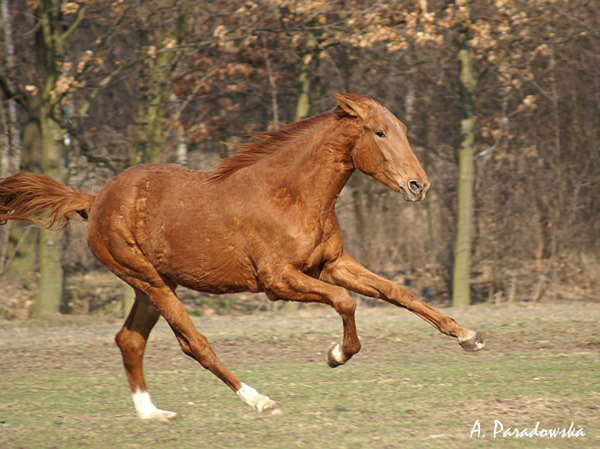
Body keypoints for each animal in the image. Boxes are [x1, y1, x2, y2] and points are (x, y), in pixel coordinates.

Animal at [0, 93, 482, 420]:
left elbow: (398, 292)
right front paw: (336, 355)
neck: (290, 195)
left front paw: (468, 336)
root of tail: (95, 199)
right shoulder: (278, 281)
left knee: (130, 340)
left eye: (403, 129)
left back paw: (153, 414)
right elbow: (346, 301)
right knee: (193, 344)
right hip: (147, 280)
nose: (419, 185)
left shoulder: (331, 264)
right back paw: (259, 400)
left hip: (154, 285)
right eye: (379, 133)